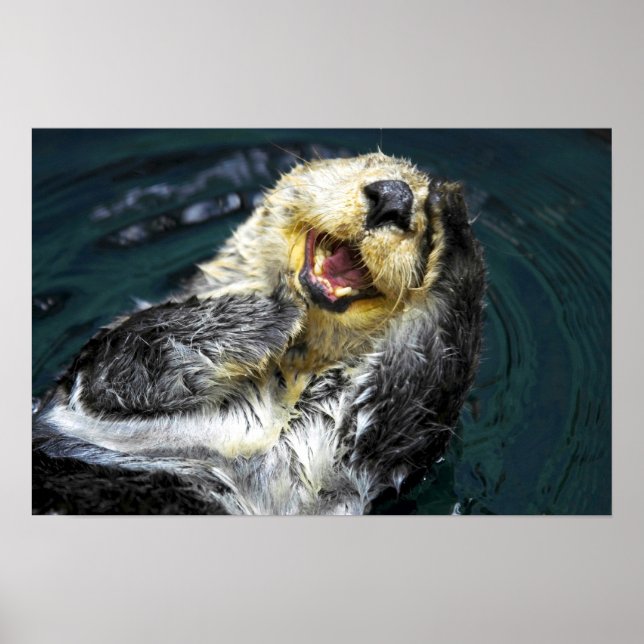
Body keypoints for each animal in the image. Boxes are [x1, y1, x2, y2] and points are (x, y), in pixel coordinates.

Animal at [32, 152, 486, 515]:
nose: (394, 197)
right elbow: (129, 357)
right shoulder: (93, 376)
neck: (283, 380)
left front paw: (452, 218)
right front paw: (278, 309)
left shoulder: (336, 462)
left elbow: (413, 391)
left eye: (422, 220)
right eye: (366, 164)